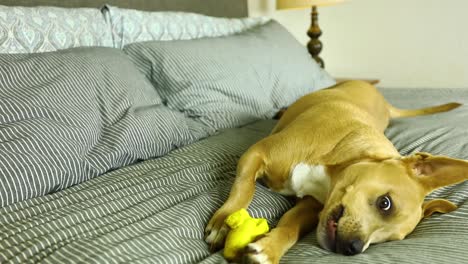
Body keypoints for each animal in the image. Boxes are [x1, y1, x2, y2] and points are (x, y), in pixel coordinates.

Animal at [206, 81, 468, 264]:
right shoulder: (257, 153)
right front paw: (223, 222)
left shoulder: (312, 206)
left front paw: (270, 249)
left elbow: (291, 226)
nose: (352, 249)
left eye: (391, 240)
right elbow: (244, 188)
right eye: (385, 203)